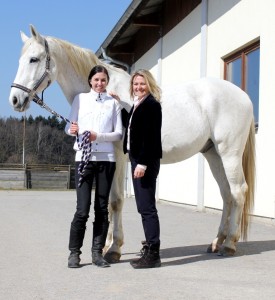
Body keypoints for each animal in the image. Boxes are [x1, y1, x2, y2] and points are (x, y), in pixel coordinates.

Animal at [9, 25, 258, 260]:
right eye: (20, 60)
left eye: (34, 59)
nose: (15, 99)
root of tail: (243, 96)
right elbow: (107, 201)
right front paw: (107, 244)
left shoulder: (119, 158)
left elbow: (116, 200)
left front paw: (114, 249)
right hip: (213, 154)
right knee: (226, 194)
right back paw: (216, 242)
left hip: (229, 153)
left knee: (238, 191)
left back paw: (229, 245)